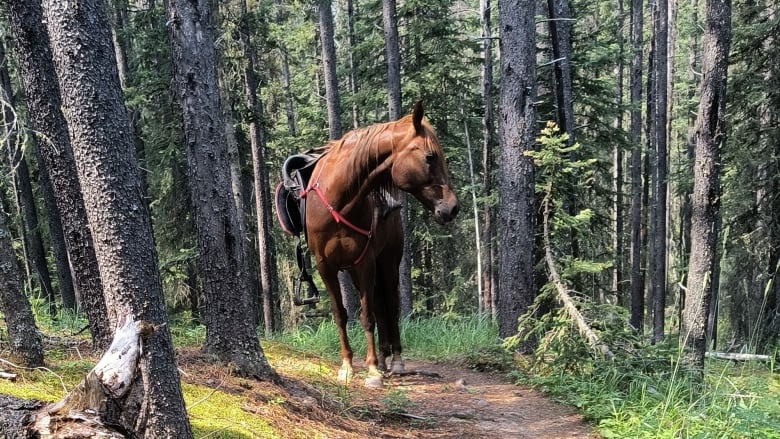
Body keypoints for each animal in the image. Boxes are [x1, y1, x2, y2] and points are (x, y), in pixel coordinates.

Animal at [300, 101, 454, 386]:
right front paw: (347, 365)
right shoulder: (326, 267)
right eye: (430, 157)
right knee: (381, 305)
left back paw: (394, 360)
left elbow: (367, 316)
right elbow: (341, 315)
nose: (452, 208)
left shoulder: (366, 262)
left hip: (388, 263)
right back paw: (383, 359)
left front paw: (371, 369)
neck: (339, 201)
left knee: (390, 304)